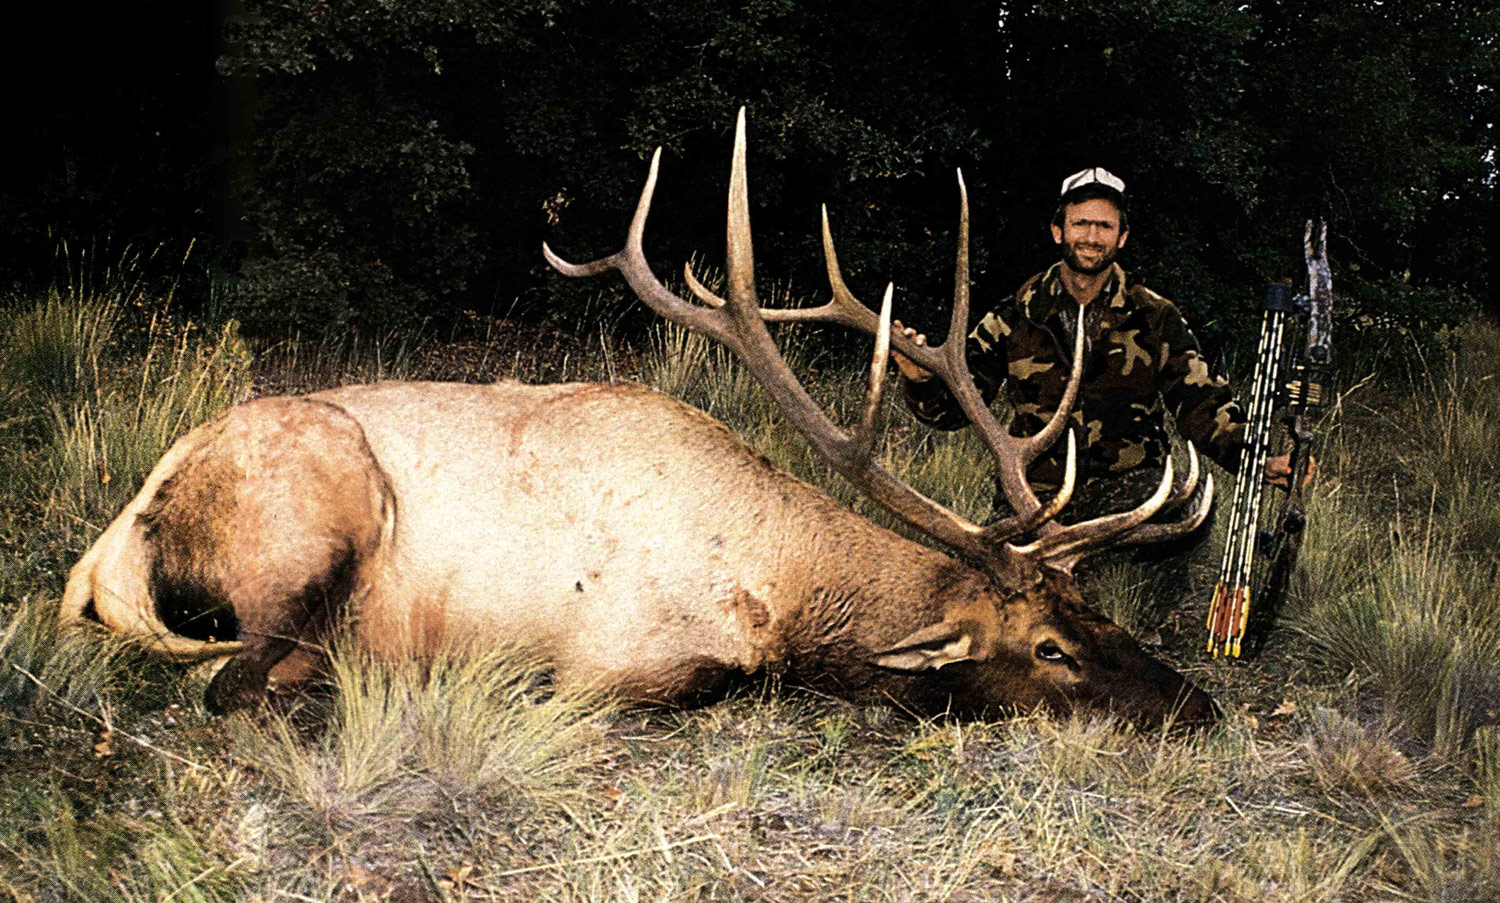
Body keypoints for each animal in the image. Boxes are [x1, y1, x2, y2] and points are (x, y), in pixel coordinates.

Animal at [64, 108, 1218, 723]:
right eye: (1050, 649)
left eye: (1098, 610)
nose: (1194, 704)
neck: (773, 581)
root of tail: (108, 549)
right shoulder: (614, 657)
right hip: (316, 506)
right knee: (232, 678)